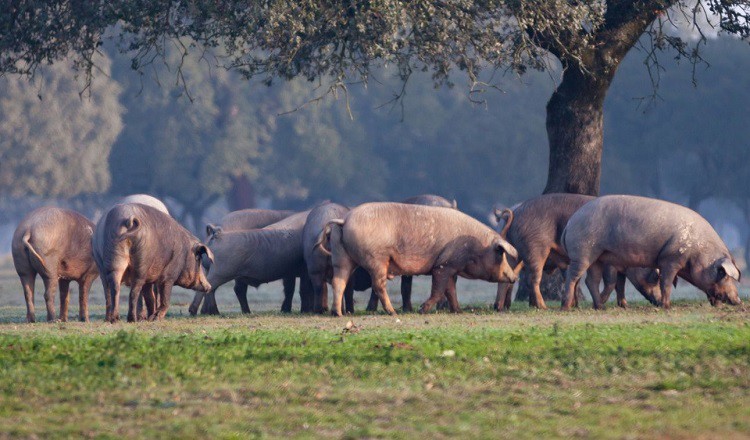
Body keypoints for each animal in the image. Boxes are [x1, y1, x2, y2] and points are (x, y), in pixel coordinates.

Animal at [316, 203, 516, 316]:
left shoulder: (451, 266)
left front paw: (457, 311)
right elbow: (439, 289)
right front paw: (422, 310)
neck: (474, 247)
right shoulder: (443, 265)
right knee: (378, 285)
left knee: (338, 281)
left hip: (341, 256)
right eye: (500, 254)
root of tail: (344, 221)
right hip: (376, 259)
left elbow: (451, 290)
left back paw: (337, 314)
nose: (514, 277)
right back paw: (392, 312)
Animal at [560, 196, 744, 310]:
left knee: (591, 280)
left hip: (597, 257)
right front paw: (666, 306)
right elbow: (666, 283)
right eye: (723, 274)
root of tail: (570, 223)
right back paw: (566, 307)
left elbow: (620, 284)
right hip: (582, 252)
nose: (738, 300)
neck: (697, 250)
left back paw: (600, 307)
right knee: (573, 276)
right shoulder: (670, 259)